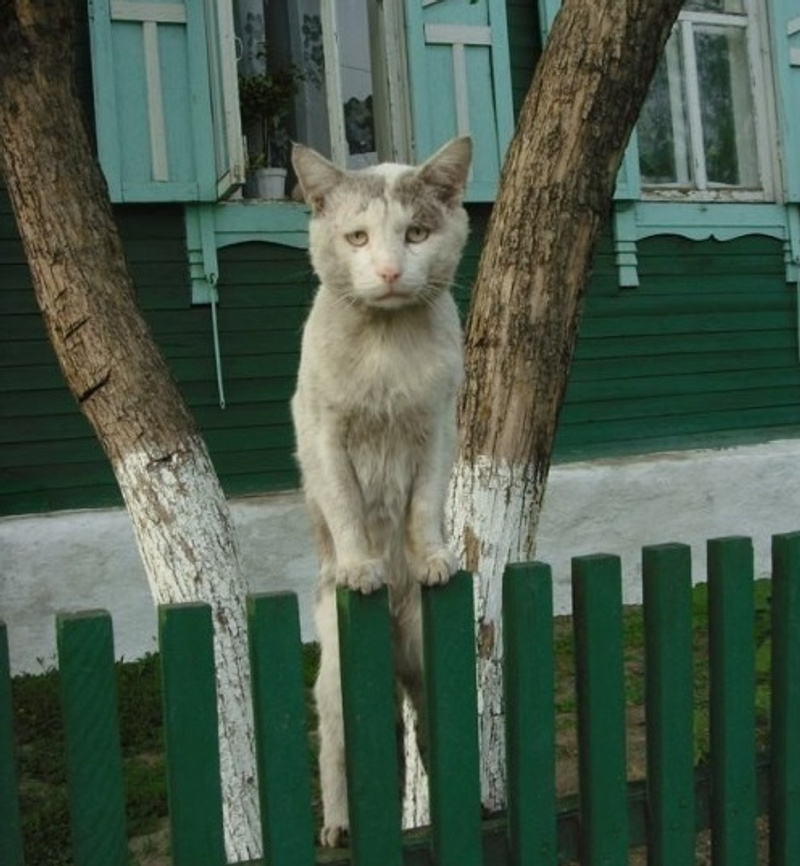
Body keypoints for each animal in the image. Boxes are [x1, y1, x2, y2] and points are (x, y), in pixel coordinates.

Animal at [290, 136, 472, 846]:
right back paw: (341, 827)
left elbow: (422, 508)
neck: (387, 347)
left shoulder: (438, 429)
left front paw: (433, 558)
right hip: (339, 678)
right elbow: (346, 508)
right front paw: (361, 567)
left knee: (430, 739)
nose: (392, 271)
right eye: (358, 237)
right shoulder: (324, 432)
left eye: (416, 233)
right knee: (338, 750)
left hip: (431, 668)